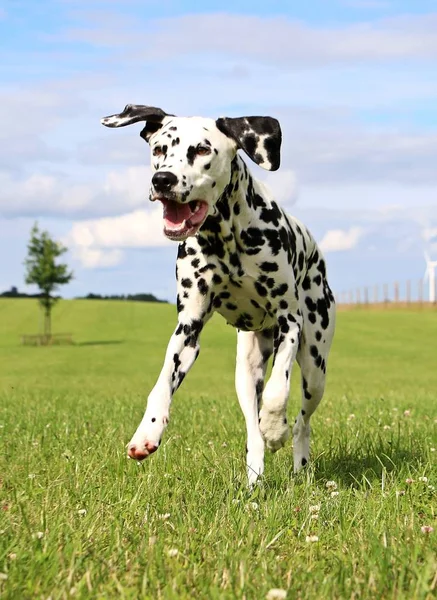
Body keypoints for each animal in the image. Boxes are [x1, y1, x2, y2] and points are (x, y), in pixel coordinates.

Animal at [100, 104, 336, 488]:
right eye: (159, 149)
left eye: (200, 150)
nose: (162, 180)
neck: (225, 236)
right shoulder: (187, 329)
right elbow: (162, 383)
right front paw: (146, 433)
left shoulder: (289, 321)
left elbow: (278, 389)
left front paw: (275, 426)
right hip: (246, 372)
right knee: (252, 429)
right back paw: (254, 475)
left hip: (316, 366)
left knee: (302, 421)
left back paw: (294, 455)